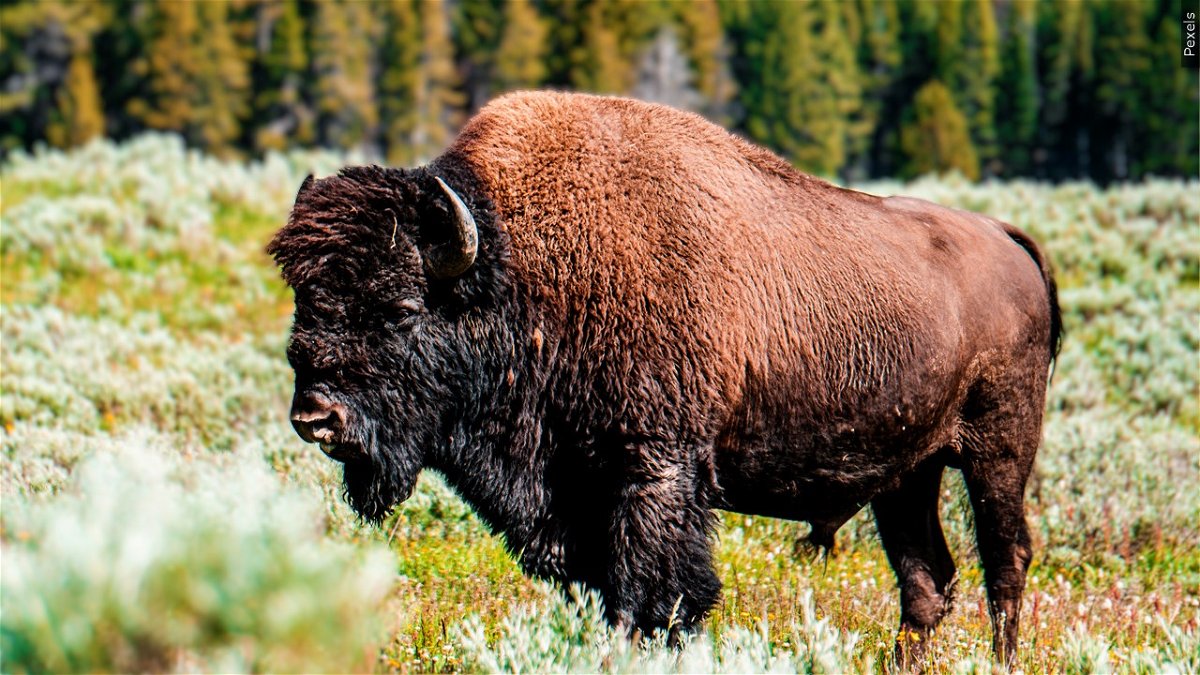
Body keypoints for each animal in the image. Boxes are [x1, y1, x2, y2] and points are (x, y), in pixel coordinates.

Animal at [270, 89, 1060, 662]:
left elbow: (656, 593)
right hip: (907, 473)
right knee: (926, 579)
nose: (316, 417)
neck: (521, 271)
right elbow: (608, 592)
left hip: (997, 451)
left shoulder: (654, 469)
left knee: (1005, 559)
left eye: (402, 308)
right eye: (303, 298)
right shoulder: (574, 501)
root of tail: (1007, 237)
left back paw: (1002, 661)